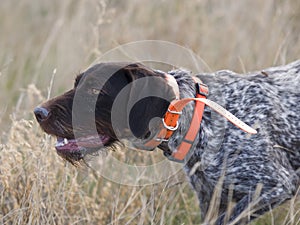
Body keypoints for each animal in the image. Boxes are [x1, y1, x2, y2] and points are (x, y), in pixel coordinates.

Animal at [34, 60, 300, 224]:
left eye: (93, 90)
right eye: (76, 84)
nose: (38, 113)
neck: (195, 117)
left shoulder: (275, 186)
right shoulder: (212, 200)